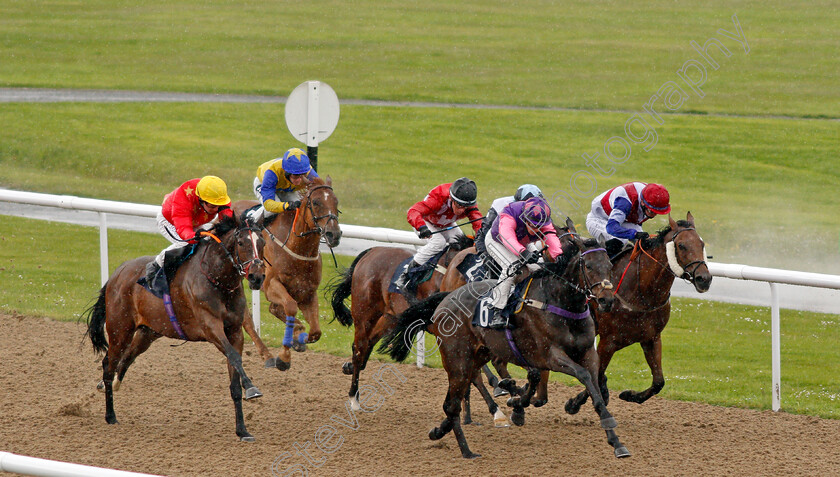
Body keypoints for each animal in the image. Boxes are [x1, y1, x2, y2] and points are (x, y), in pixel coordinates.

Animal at [81, 214, 266, 440]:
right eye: (241, 243)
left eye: (262, 243)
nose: (257, 277)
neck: (217, 279)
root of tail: (117, 273)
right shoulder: (211, 327)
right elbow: (234, 356)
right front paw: (252, 388)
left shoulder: (235, 332)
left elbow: (234, 379)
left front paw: (242, 430)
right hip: (120, 329)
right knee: (109, 364)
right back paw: (110, 415)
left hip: (148, 333)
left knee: (126, 358)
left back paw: (112, 385)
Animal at [231, 177, 340, 370]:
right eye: (316, 202)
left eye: (336, 202)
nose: (333, 234)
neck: (297, 248)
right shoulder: (270, 284)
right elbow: (290, 306)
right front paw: (284, 357)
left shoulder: (308, 292)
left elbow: (315, 331)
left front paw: (298, 339)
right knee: (246, 318)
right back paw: (266, 355)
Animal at [324, 234, 472, 410]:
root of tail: (373, 250)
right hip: (364, 313)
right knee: (359, 349)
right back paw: (354, 398)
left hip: (390, 317)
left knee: (367, 343)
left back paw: (349, 368)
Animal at [380, 236, 632, 460]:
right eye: (588, 266)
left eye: (610, 266)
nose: (607, 300)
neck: (560, 303)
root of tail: (445, 299)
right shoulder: (551, 356)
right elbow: (583, 376)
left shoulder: (588, 353)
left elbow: (593, 385)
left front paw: (616, 442)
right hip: (457, 360)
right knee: (453, 403)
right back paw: (467, 451)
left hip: (479, 354)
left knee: (456, 398)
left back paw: (441, 431)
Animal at [564, 211, 708, 412]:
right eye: (681, 245)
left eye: (702, 244)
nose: (704, 279)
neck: (642, 293)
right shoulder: (608, 341)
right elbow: (596, 374)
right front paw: (575, 403)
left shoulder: (651, 338)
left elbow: (658, 382)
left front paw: (629, 395)